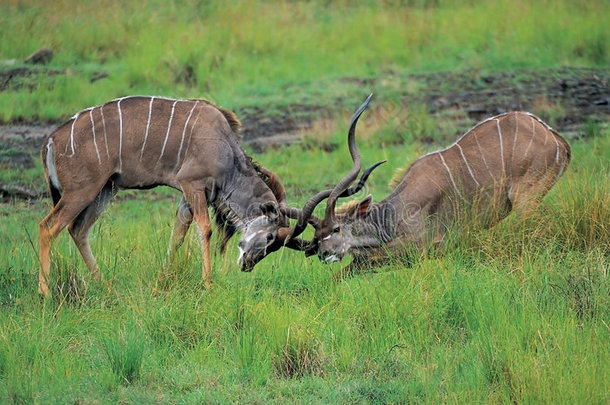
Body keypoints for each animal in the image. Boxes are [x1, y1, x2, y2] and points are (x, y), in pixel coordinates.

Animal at [36, 96, 298, 296]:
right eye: (270, 238)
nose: (247, 265)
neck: (225, 149)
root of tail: (51, 140)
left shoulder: (188, 197)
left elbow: (177, 235)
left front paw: (161, 282)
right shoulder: (192, 185)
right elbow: (205, 230)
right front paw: (208, 284)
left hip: (105, 189)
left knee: (77, 230)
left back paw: (105, 286)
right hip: (82, 190)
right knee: (48, 226)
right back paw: (45, 292)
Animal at [290, 96, 568, 276]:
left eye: (336, 228)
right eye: (317, 236)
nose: (324, 254)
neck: (394, 214)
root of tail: (558, 140)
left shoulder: (422, 245)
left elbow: (365, 260)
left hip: (525, 200)